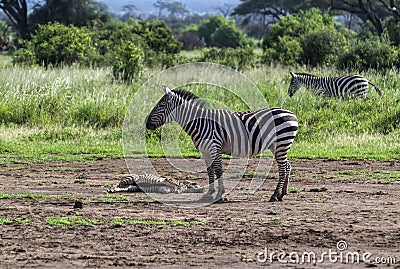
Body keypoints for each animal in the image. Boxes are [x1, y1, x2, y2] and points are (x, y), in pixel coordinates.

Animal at [145, 86, 298, 201]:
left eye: (161, 105)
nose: (146, 123)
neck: (200, 123)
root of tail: (292, 113)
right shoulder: (205, 151)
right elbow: (210, 171)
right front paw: (209, 193)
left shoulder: (214, 147)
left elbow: (218, 170)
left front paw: (219, 194)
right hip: (277, 146)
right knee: (287, 166)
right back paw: (283, 193)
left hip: (282, 142)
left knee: (283, 169)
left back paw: (274, 195)